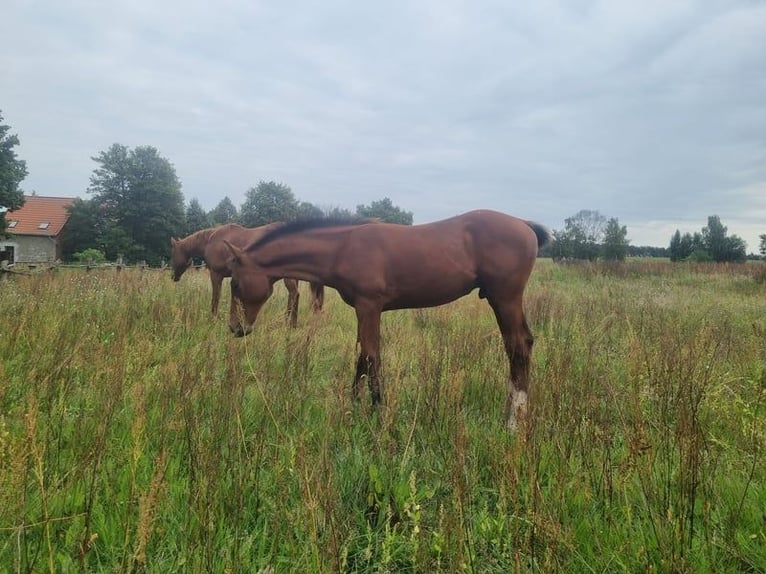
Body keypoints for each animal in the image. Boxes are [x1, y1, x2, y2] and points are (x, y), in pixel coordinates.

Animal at [170, 223, 326, 326]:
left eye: (173, 254)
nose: (173, 276)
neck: (211, 240)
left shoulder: (216, 275)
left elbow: (215, 299)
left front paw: (213, 319)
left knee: (294, 294)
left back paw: (288, 324)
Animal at [222, 212, 552, 432]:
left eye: (235, 283)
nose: (236, 328)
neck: (343, 247)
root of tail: (524, 225)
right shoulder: (365, 310)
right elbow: (361, 358)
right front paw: (353, 410)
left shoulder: (369, 306)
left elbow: (371, 357)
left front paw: (378, 416)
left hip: (505, 298)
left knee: (518, 347)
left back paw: (513, 423)